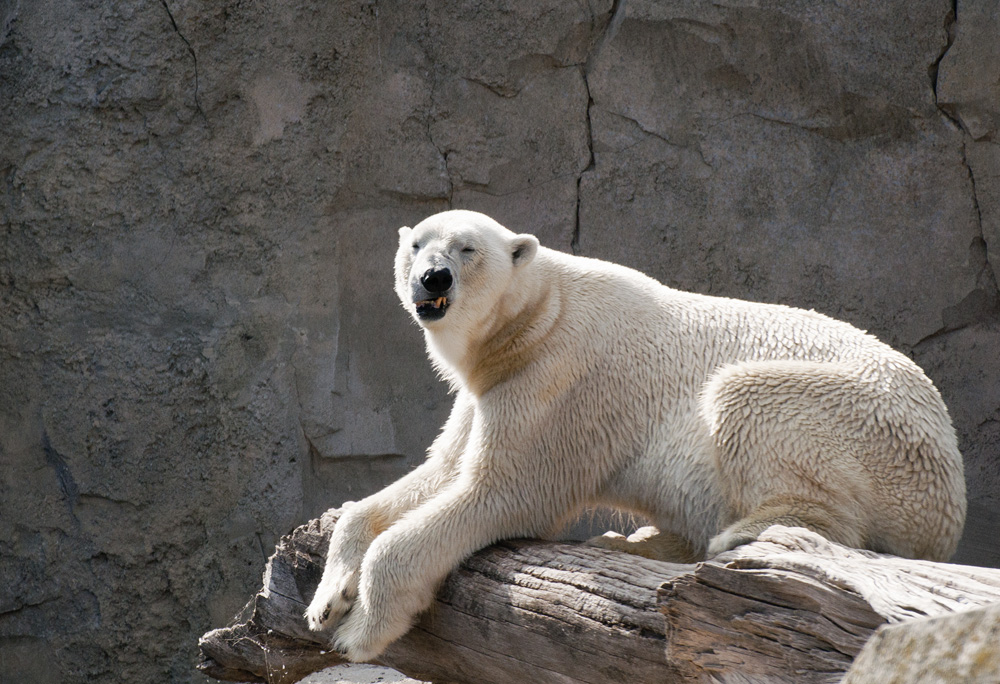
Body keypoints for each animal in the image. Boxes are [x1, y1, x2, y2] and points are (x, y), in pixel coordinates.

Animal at [302, 210, 960, 664]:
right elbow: (438, 471)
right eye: (417, 244)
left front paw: (357, 633)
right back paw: (634, 542)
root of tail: (950, 499)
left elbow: (506, 490)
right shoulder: (492, 386)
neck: (534, 319)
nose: (432, 276)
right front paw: (326, 599)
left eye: (466, 248)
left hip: (871, 429)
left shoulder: (559, 380)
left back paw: (743, 532)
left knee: (750, 398)